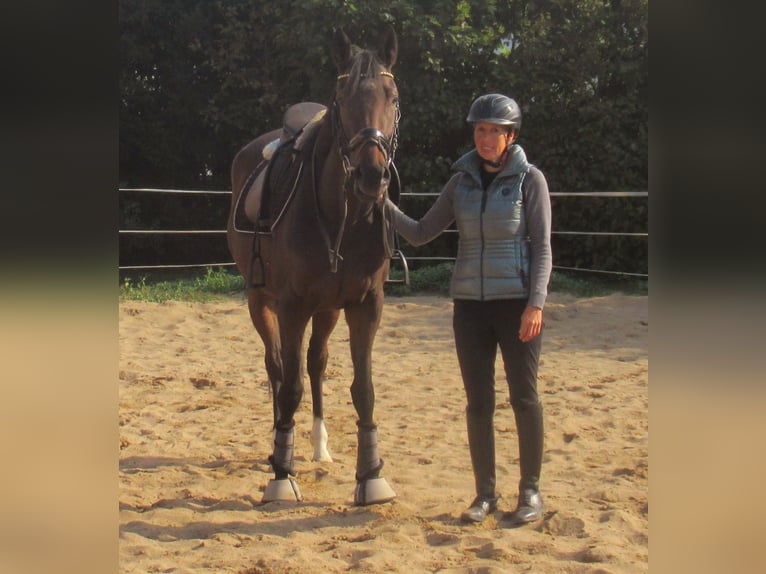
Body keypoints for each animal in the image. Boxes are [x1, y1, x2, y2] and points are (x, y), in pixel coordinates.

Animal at [226, 27, 401, 505]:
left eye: (393, 96)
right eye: (341, 98)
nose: (371, 176)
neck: (341, 218)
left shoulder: (365, 305)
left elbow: (363, 389)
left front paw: (371, 477)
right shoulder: (290, 307)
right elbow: (289, 387)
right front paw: (282, 476)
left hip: (327, 311)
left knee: (315, 363)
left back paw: (320, 446)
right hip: (260, 300)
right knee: (276, 368)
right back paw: (276, 443)